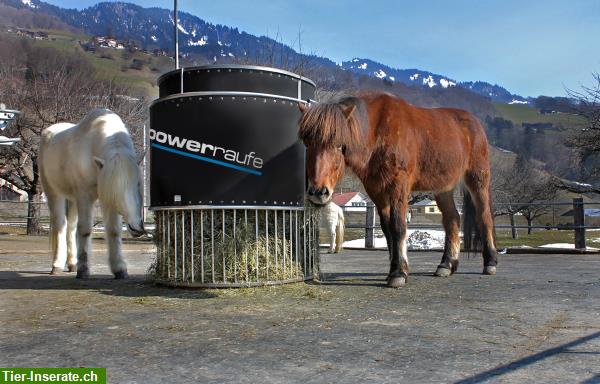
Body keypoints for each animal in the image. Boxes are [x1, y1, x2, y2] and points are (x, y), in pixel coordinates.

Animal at [39, 108, 145, 280]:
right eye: (116, 190)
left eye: (137, 184)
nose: (137, 228)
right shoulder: (85, 196)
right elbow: (85, 229)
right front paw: (84, 270)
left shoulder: (104, 199)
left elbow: (114, 231)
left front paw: (119, 269)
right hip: (54, 194)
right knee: (60, 225)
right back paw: (57, 265)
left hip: (72, 199)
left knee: (70, 226)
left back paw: (72, 264)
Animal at [298, 93, 500, 288]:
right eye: (307, 143)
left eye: (339, 144)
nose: (319, 192)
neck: (378, 133)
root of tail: (475, 122)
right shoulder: (377, 191)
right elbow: (388, 229)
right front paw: (393, 269)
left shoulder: (398, 186)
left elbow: (398, 225)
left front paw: (399, 274)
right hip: (444, 188)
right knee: (452, 220)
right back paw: (446, 265)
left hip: (478, 179)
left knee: (484, 217)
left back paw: (490, 262)